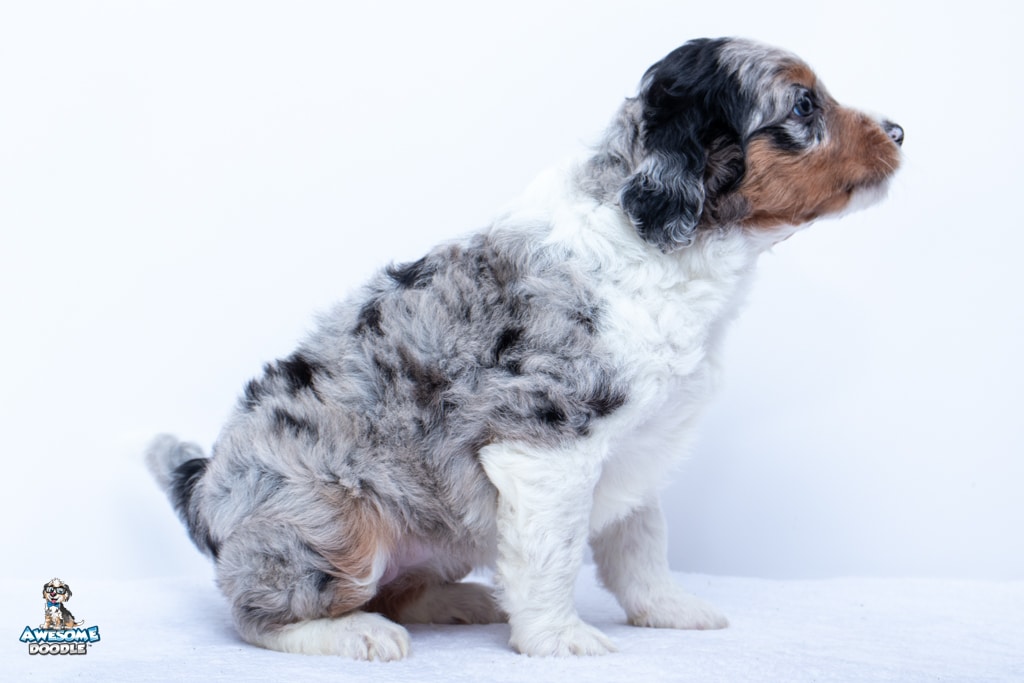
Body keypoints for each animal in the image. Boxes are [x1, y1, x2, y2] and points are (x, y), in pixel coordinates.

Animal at [147, 37, 902, 660]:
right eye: (804, 104)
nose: (900, 130)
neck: (663, 244)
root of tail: (204, 489)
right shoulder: (548, 443)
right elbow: (554, 553)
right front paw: (558, 638)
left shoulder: (638, 446)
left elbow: (642, 540)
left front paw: (666, 608)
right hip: (334, 524)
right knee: (260, 614)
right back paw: (355, 632)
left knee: (400, 588)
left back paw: (462, 600)